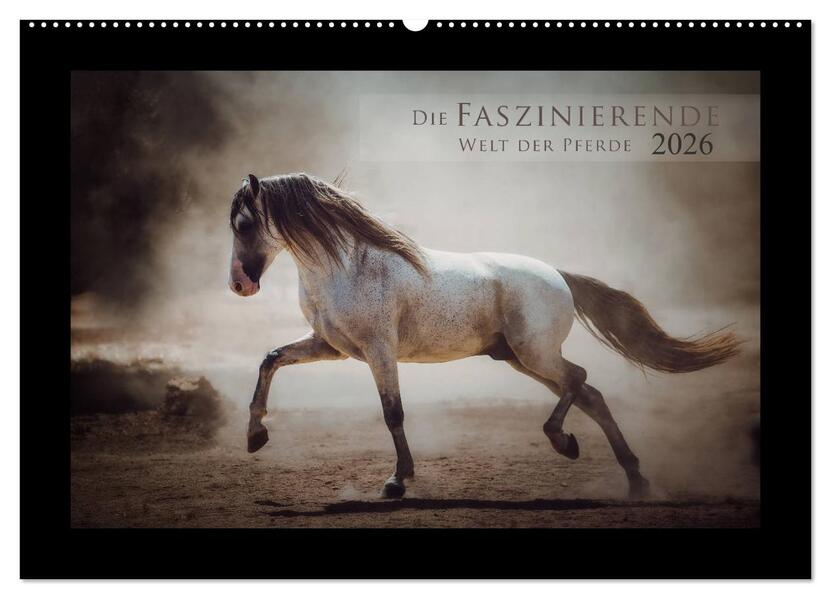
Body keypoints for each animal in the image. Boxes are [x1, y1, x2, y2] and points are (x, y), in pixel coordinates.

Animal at [228, 172, 740, 499]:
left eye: (245, 224)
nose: (240, 286)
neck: (346, 266)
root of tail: (558, 275)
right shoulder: (332, 348)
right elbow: (270, 358)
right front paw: (256, 437)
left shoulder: (379, 351)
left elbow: (393, 413)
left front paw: (397, 482)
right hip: (518, 358)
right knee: (591, 394)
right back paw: (634, 480)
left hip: (534, 355)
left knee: (579, 379)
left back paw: (564, 442)